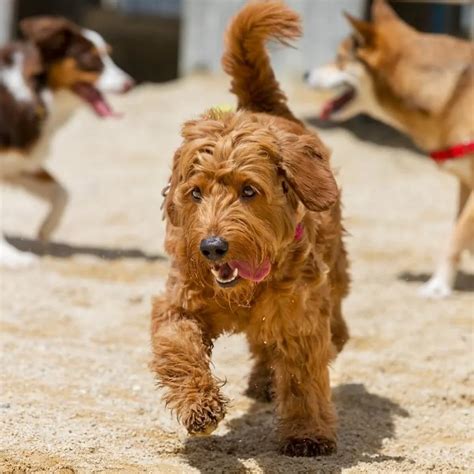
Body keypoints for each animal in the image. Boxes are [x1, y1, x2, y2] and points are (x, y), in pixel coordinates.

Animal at [0, 16, 133, 268]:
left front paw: (46, 229)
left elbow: (62, 192)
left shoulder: (18, 165)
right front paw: (12, 257)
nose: (130, 84)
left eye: (108, 54)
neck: (36, 93)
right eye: (92, 59)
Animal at [150, 0, 350, 460]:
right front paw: (199, 405)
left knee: (330, 325)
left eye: (248, 190)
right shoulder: (178, 304)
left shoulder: (299, 319)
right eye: (195, 192)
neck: (242, 292)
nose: (212, 246)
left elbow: (303, 379)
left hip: (334, 273)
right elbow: (179, 348)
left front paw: (307, 432)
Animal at [306, 0, 472, 296]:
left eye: (340, 58)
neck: (455, 93)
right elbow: (461, 233)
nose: (305, 73)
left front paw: (438, 286)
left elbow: (456, 237)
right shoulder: (465, 182)